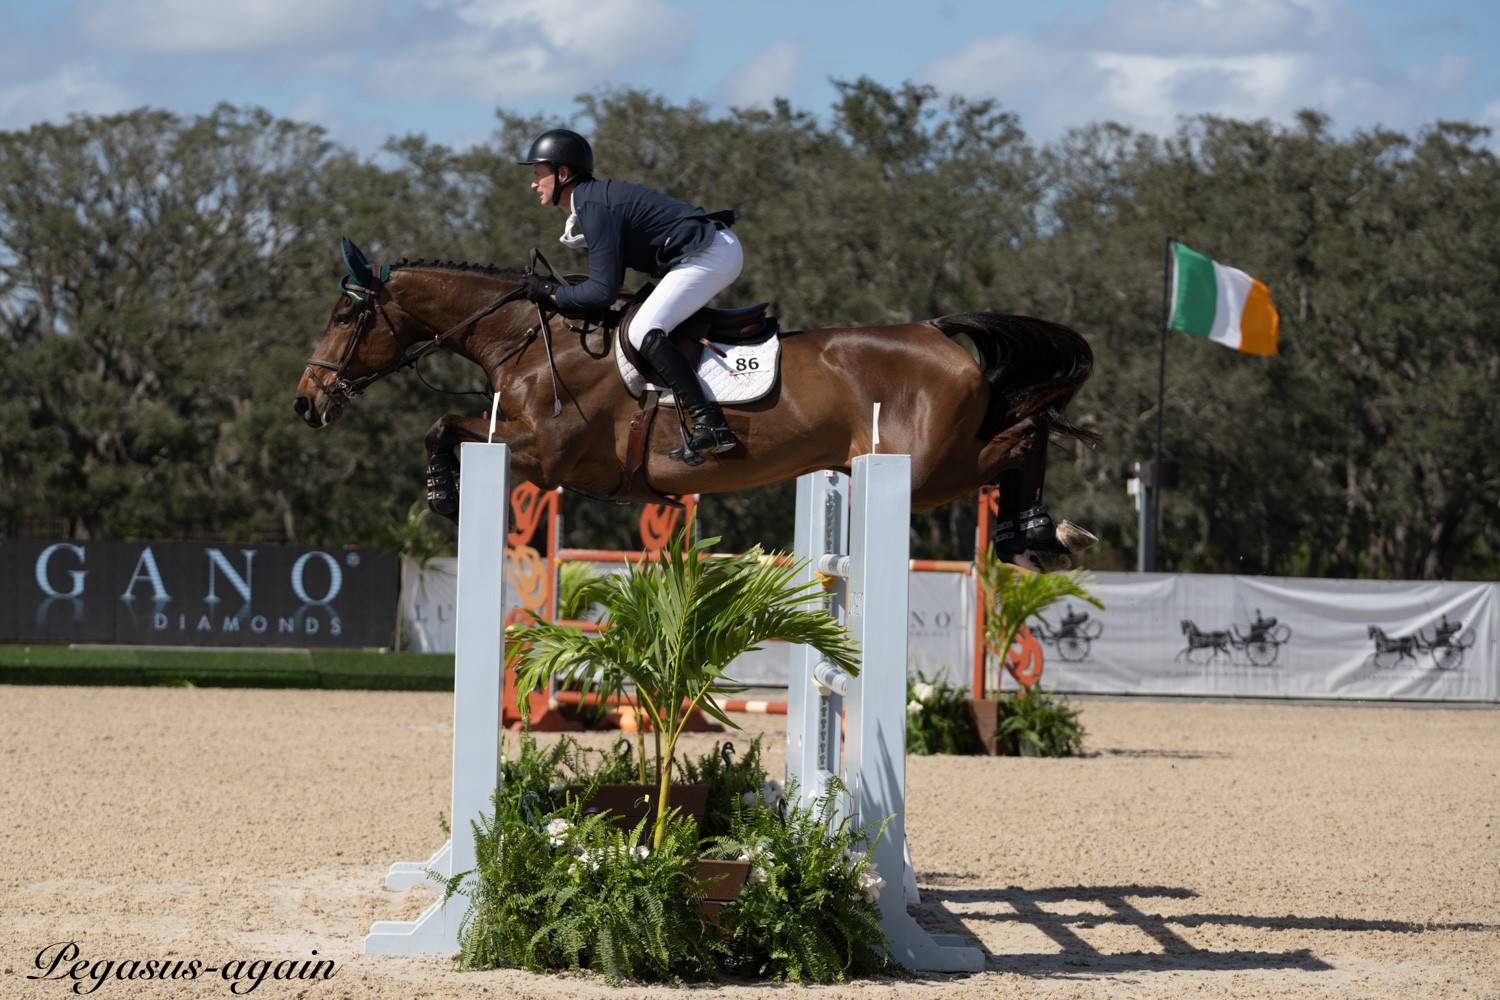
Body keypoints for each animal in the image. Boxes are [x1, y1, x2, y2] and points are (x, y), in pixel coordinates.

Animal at [293, 240, 1101, 570]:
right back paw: (1036, 532)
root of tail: (936, 332)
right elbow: (447, 424)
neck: (528, 338)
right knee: (1023, 432)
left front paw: (441, 494)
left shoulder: (546, 454)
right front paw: (443, 490)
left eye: (342, 316)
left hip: (927, 470)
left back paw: (1045, 529)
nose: (307, 402)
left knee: (1025, 433)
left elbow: (442, 425)